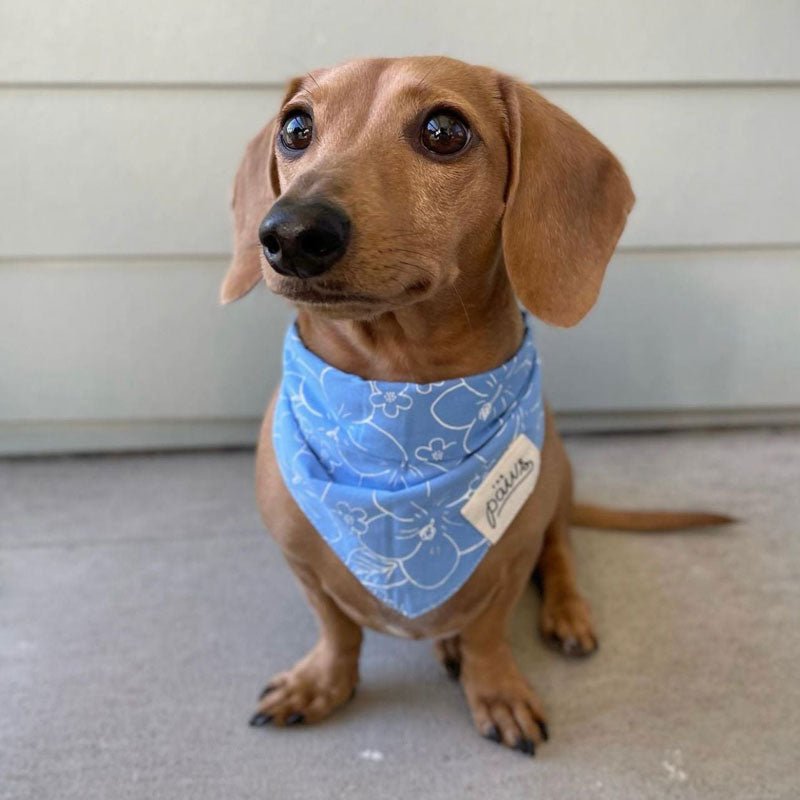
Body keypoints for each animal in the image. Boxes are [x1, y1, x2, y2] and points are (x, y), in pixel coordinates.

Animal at [220, 57, 732, 756]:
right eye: (295, 127)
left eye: (445, 130)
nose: (292, 232)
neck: (399, 402)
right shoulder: (301, 562)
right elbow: (337, 629)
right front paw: (322, 681)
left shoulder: (509, 561)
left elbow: (491, 631)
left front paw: (495, 689)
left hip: (557, 478)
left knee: (560, 550)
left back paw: (564, 613)